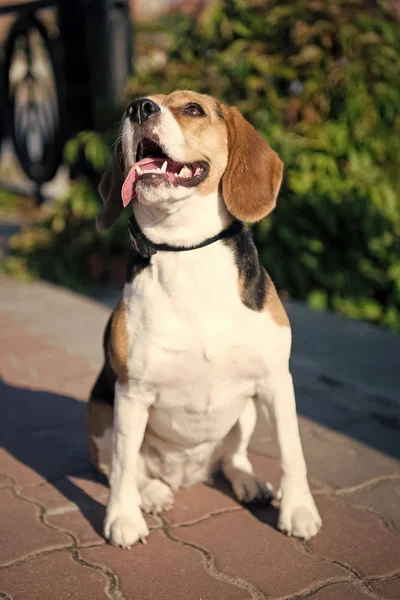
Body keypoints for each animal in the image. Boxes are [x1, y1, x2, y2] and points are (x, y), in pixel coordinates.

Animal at [87, 90, 322, 548]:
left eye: (192, 109)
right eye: (136, 105)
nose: (137, 107)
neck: (186, 249)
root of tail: (187, 475)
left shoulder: (275, 382)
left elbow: (293, 452)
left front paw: (299, 510)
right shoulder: (132, 392)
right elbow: (123, 465)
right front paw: (122, 518)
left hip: (246, 411)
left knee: (232, 457)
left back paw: (249, 482)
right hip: (101, 414)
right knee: (126, 467)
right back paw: (151, 493)